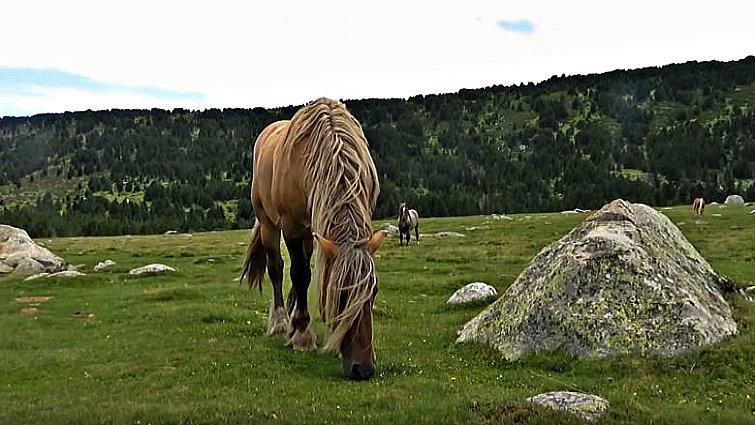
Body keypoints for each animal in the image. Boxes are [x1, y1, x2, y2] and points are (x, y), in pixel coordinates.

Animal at [241, 97, 385, 381]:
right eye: (340, 294)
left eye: (373, 292)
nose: (362, 369)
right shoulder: (292, 228)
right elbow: (299, 274)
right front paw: (302, 335)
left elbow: (304, 276)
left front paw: (300, 325)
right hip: (268, 222)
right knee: (277, 268)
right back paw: (281, 323)